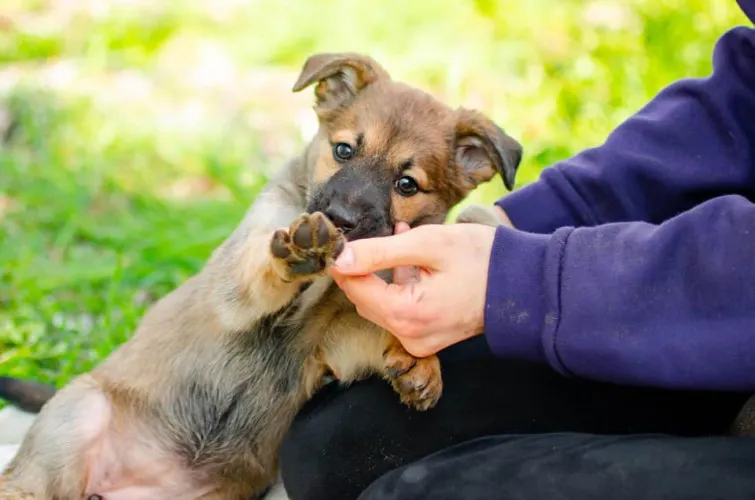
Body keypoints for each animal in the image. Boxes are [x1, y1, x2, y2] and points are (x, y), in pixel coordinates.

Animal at [0, 52, 524, 498]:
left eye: (407, 184)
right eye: (343, 150)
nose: (339, 219)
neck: (324, 283)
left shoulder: (333, 342)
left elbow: (375, 327)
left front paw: (417, 362)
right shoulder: (237, 285)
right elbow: (259, 272)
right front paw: (297, 250)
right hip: (78, 416)